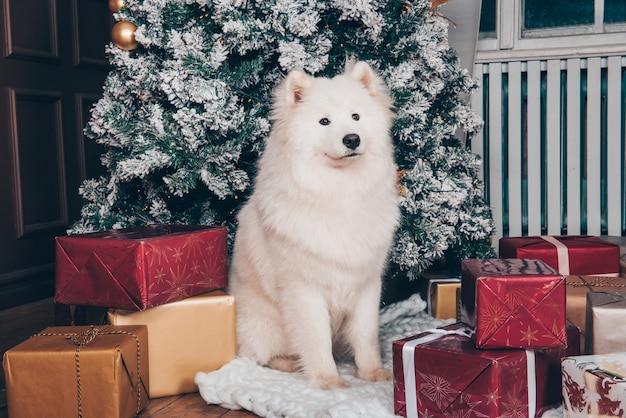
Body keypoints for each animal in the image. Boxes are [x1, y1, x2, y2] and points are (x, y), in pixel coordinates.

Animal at [229, 61, 400, 388]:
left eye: (356, 116)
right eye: (324, 121)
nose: (351, 139)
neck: (340, 193)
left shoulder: (366, 283)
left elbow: (366, 335)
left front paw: (373, 374)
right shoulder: (304, 289)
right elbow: (315, 338)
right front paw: (328, 381)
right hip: (262, 323)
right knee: (261, 355)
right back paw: (290, 364)